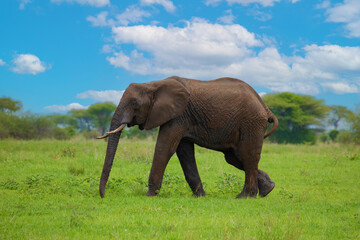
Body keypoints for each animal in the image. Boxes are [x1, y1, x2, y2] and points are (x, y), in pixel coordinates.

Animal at [97, 76, 278, 198]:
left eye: (134, 103)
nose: (104, 196)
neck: (153, 84)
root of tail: (265, 106)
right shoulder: (181, 117)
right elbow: (184, 153)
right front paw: (200, 196)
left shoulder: (178, 115)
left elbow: (164, 148)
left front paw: (149, 195)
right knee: (235, 158)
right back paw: (267, 189)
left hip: (251, 123)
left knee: (246, 156)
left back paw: (245, 197)